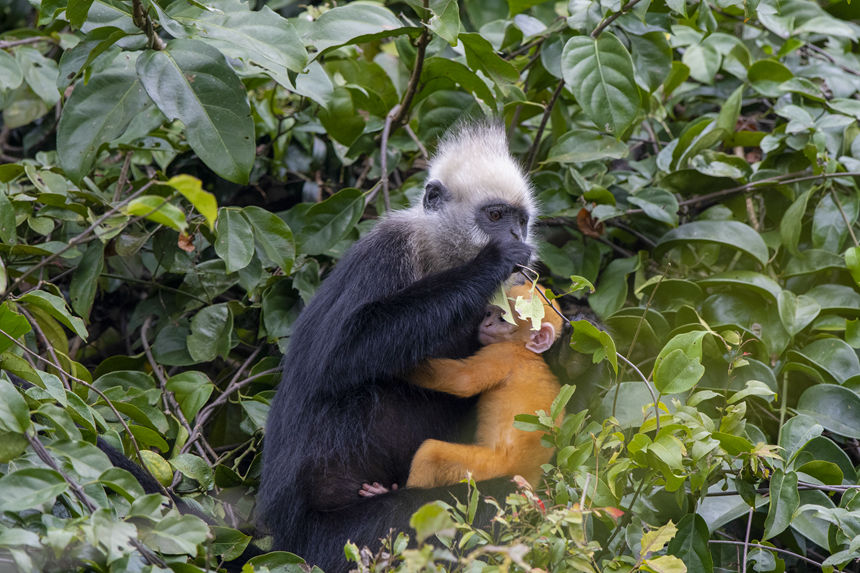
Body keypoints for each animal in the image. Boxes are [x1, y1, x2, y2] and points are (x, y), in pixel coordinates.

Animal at [258, 120, 536, 568]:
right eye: (495, 216)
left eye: (521, 221)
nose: (515, 234)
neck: (438, 258)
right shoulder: (387, 253)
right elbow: (339, 352)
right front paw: (492, 262)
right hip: (338, 534)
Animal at [362, 282, 568, 496]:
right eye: (488, 313)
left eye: (502, 319)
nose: (487, 324)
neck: (527, 351)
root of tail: (528, 479)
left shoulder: (503, 353)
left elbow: (463, 381)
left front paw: (397, 365)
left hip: (484, 469)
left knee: (431, 452)